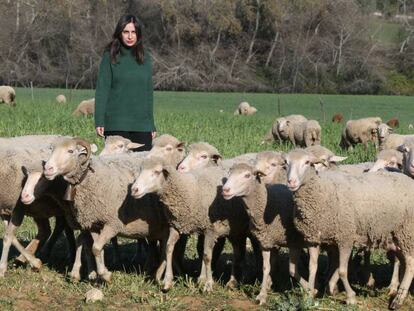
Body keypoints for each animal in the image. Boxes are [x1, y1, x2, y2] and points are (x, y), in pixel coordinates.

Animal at [131, 157, 251, 294]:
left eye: (156, 172)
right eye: (141, 170)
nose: (134, 189)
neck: (189, 189)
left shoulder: (211, 229)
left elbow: (207, 256)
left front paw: (208, 285)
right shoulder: (176, 226)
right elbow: (169, 248)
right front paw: (167, 282)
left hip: (236, 229)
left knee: (237, 252)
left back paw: (233, 280)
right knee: (236, 251)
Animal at [223, 165, 314, 306]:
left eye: (247, 175)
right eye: (229, 173)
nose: (225, 190)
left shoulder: (294, 242)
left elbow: (292, 270)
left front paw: (310, 290)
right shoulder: (265, 242)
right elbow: (266, 267)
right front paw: (263, 294)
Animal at [284, 149, 414, 310]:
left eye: (307, 162)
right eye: (286, 162)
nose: (291, 182)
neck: (323, 191)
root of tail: (407, 178)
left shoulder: (345, 237)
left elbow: (342, 270)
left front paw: (350, 297)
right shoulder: (314, 239)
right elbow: (313, 267)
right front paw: (309, 295)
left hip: (406, 230)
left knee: (410, 264)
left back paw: (398, 299)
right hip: (395, 233)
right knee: (403, 261)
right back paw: (397, 291)